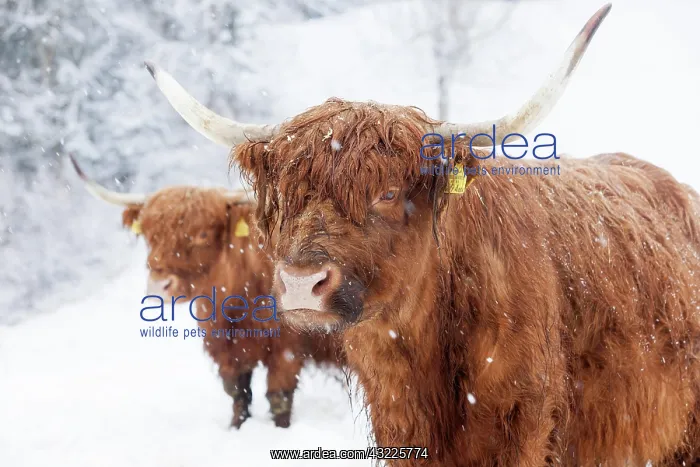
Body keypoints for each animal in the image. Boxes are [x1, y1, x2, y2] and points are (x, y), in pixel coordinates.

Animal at [69, 155, 342, 429]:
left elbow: (279, 398)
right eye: (149, 235)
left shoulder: (286, 347)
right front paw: (235, 427)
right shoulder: (225, 346)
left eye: (202, 234)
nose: (160, 285)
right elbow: (238, 394)